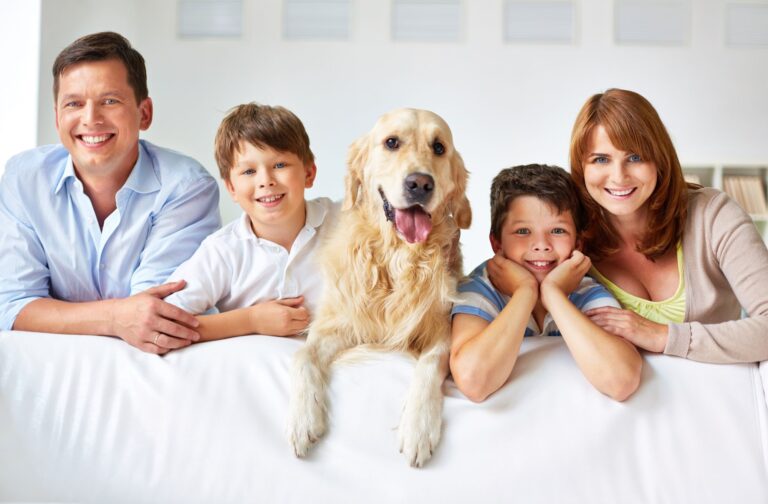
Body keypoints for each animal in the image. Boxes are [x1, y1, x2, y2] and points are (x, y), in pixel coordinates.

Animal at [286, 108, 472, 466]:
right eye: (391, 142)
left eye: (439, 147)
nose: (420, 184)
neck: (398, 256)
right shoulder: (341, 325)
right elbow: (303, 355)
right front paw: (302, 419)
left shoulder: (441, 330)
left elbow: (430, 364)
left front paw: (417, 427)